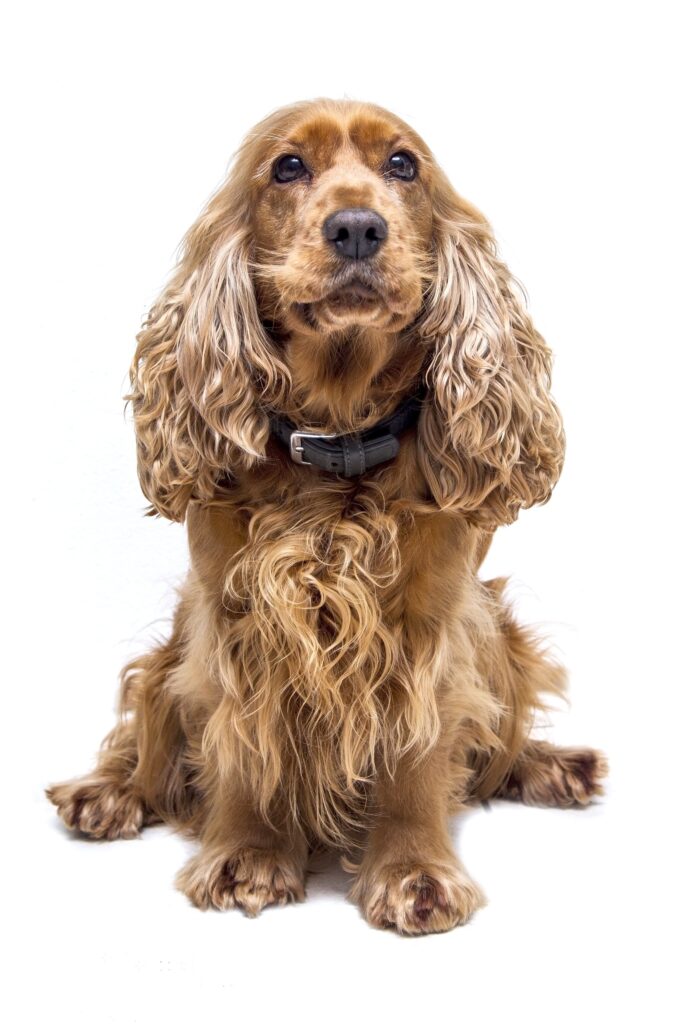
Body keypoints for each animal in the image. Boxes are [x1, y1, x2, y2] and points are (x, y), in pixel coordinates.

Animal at [46, 97, 606, 937]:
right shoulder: (236, 618)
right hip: (174, 647)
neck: (337, 440)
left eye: (403, 165)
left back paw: (553, 767)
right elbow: (243, 741)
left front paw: (413, 873)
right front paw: (246, 856)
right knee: (147, 722)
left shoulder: (429, 624)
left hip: (496, 633)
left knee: (498, 747)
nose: (356, 228)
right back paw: (109, 791)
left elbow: (419, 751)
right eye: (287, 167)